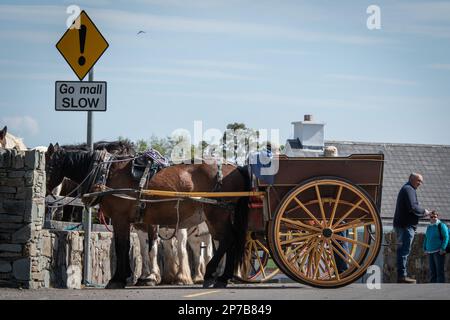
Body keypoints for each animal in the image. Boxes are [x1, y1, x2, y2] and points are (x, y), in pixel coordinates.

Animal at [45, 142, 250, 288]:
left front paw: (118, 279)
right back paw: (222, 277)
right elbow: (136, 247)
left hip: (216, 214)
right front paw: (131, 277)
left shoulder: (121, 218)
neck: (108, 173)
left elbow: (124, 246)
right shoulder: (135, 222)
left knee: (226, 239)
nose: (46, 194)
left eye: (48, 166)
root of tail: (235, 167)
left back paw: (212, 274)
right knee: (229, 240)